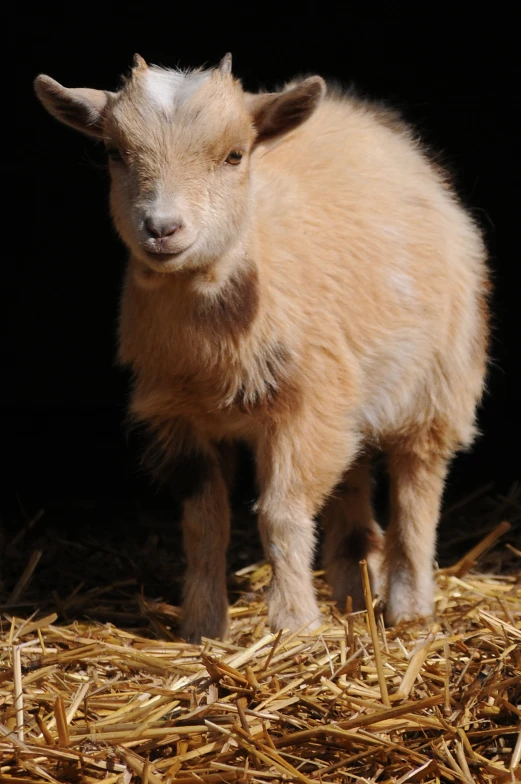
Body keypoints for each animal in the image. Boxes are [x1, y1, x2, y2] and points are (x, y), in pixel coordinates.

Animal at [35, 55, 488, 644]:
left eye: (235, 155)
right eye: (113, 151)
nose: (162, 229)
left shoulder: (305, 406)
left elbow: (281, 514)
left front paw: (294, 623)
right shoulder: (179, 417)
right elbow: (205, 523)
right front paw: (203, 627)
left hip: (439, 381)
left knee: (418, 485)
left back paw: (409, 608)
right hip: (350, 405)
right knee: (352, 481)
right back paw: (352, 595)